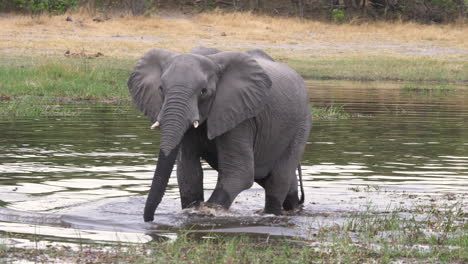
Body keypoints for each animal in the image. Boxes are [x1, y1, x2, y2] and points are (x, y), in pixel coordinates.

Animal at [127, 46, 310, 222]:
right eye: (160, 89)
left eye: (203, 91)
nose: (150, 219)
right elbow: (188, 170)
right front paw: (191, 210)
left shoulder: (239, 115)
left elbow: (239, 173)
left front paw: (205, 212)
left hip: (301, 124)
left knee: (278, 178)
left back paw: (272, 213)